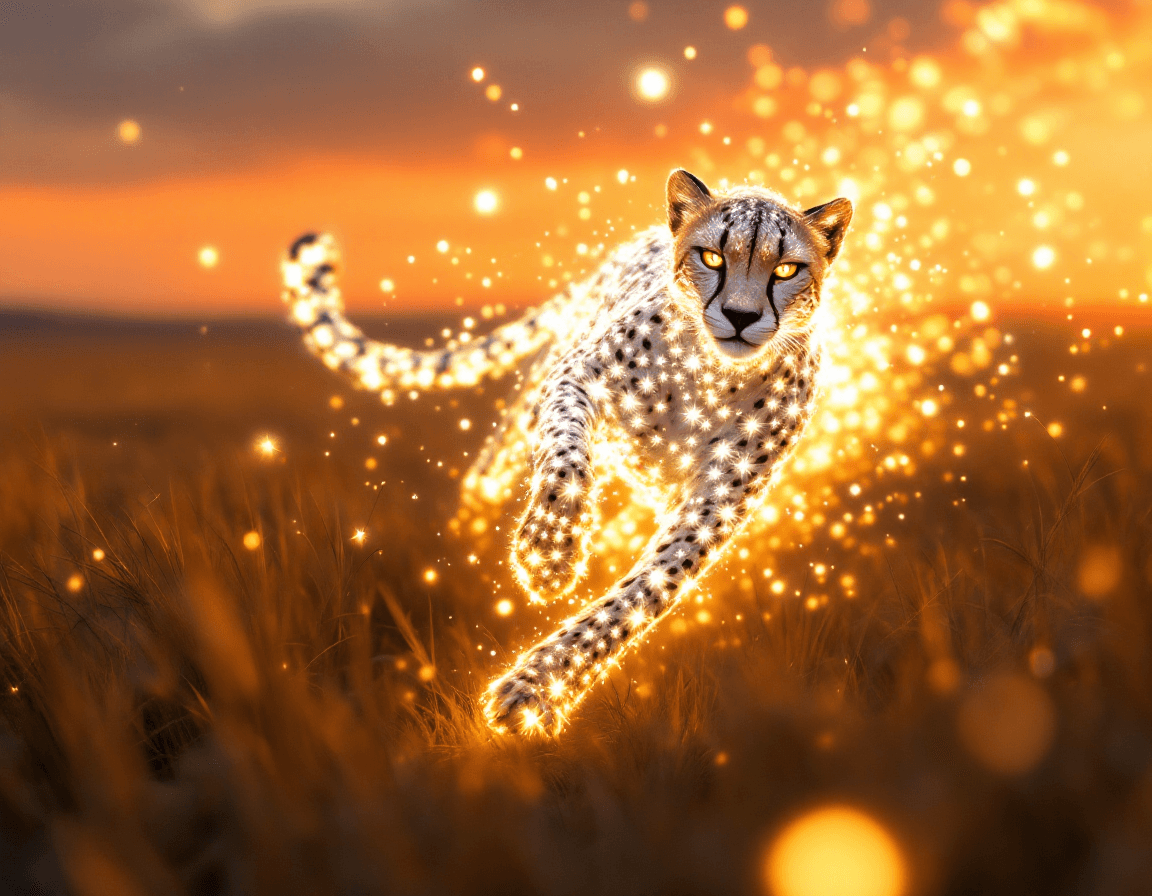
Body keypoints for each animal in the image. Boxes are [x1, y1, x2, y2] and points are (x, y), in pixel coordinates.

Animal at [280, 169, 852, 735]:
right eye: (712, 257)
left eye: (786, 269)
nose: (739, 315)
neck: (713, 376)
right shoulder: (575, 379)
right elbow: (564, 458)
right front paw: (549, 554)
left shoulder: (715, 504)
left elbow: (640, 596)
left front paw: (536, 689)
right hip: (519, 428)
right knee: (488, 478)